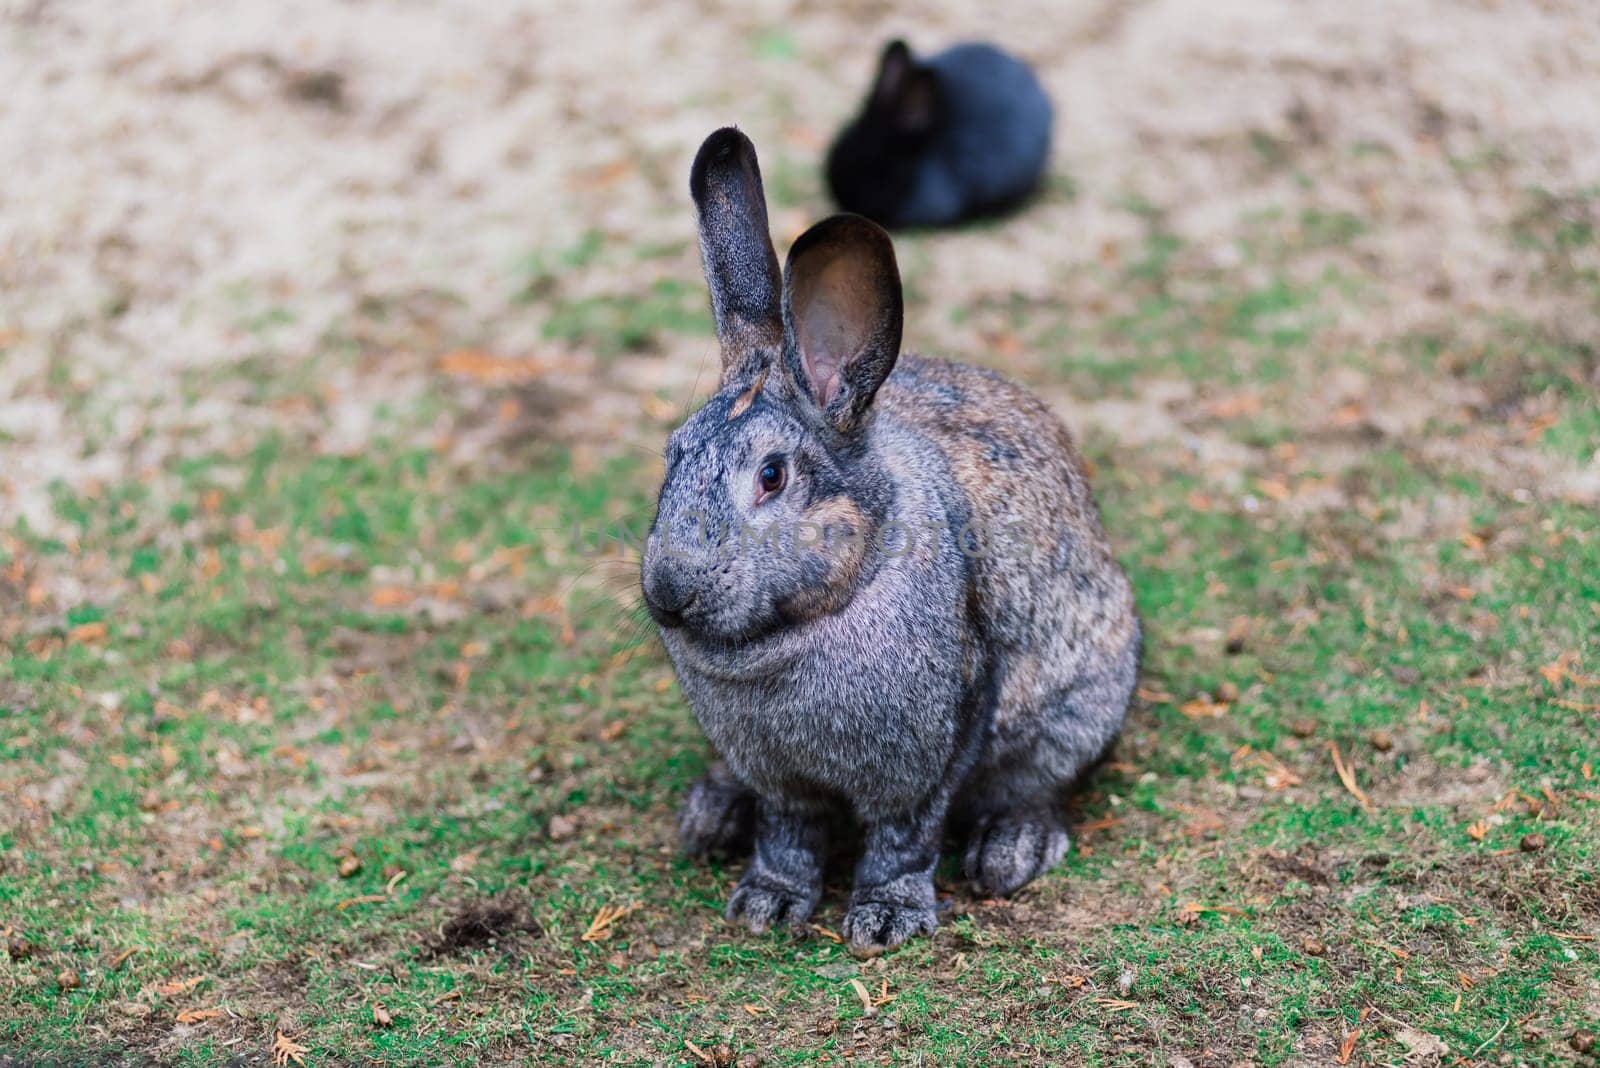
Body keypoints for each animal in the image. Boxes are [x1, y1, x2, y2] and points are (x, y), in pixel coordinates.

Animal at [636, 129, 1139, 952]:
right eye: (672, 454)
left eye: (772, 476)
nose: (668, 593)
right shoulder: (778, 776)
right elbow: (788, 832)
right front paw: (767, 903)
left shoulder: (942, 734)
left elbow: (905, 834)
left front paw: (884, 917)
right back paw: (712, 814)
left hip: (1081, 702)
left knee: (1042, 783)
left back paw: (1012, 847)